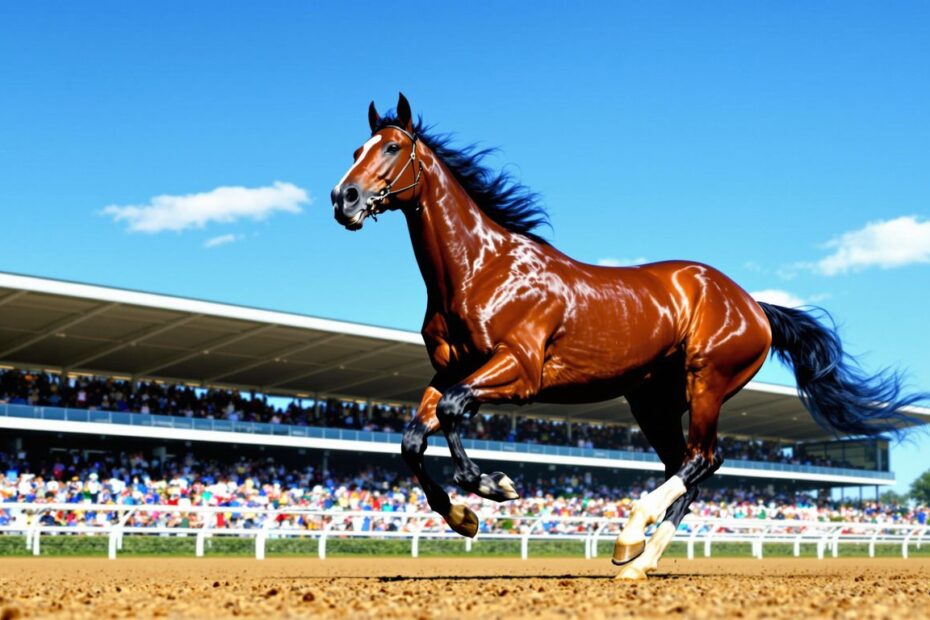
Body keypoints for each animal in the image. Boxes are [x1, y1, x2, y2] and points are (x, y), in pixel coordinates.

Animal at [332, 94, 920, 580]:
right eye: (357, 149)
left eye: (391, 147)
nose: (344, 197)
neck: (482, 268)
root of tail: (755, 306)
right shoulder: (450, 369)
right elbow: (413, 438)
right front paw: (463, 517)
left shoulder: (519, 370)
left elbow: (454, 411)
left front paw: (492, 486)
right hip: (652, 400)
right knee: (689, 464)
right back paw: (639, 558)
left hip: (707, 381)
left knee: (702, 459)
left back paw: (631, 534)